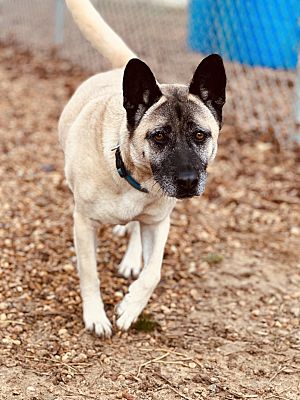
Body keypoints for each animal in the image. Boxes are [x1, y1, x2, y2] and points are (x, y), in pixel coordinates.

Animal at [58, 0, 226, 338]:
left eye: (200, 135)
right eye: (158, 136)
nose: (188, 181)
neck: (132, 177)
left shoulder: (159, 223)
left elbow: (154, 273)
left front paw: (130, 307)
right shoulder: (83, 224)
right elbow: (89, 274)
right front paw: (95, 316)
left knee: (139, 232)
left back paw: (132, 257)